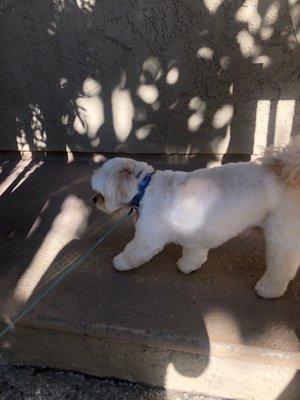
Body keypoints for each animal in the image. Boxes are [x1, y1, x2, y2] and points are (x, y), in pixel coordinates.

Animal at [91, 137, 300, 296]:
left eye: (100, 194)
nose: (93, 200)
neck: (145, 188)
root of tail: (287, 173)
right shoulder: (196, 231)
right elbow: (194, 251)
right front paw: (189, 265)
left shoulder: (148, 238)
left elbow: (134, 251)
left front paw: (120, 262)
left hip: (281, 235)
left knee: (282, 264)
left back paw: (269, 289)